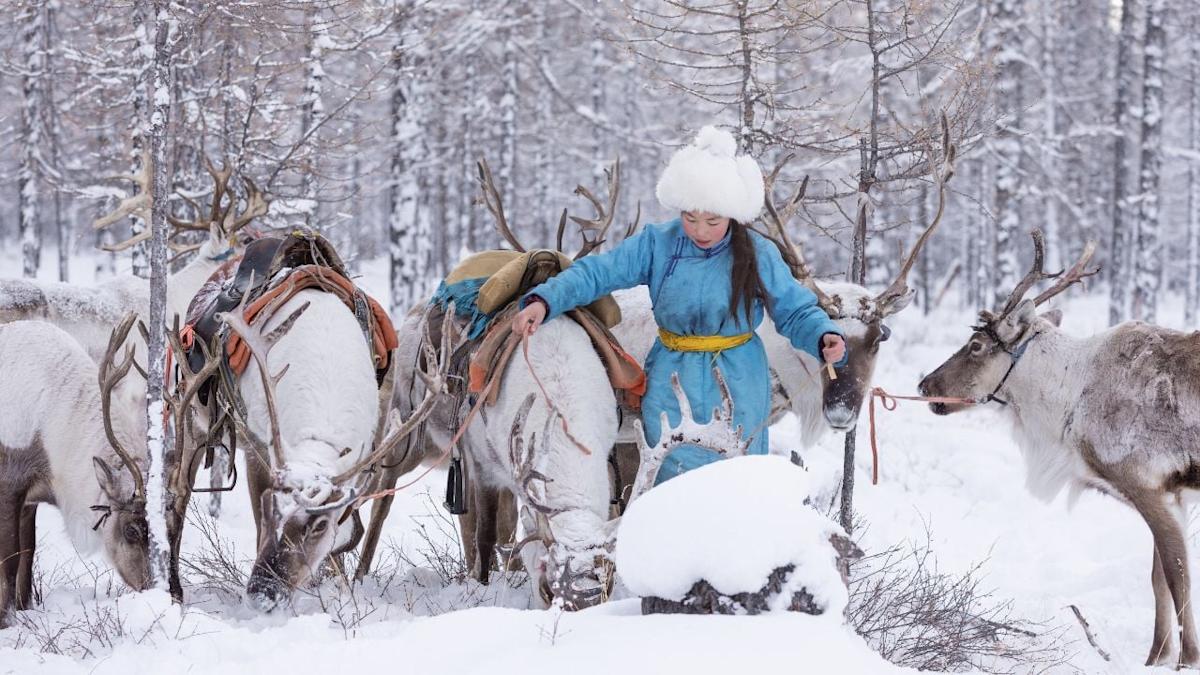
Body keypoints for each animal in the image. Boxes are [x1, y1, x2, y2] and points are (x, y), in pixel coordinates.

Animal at [0, 314, 150, 626]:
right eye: (130, 530)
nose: (151, 586)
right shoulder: (9, 486)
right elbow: (10, 560)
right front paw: (5, 622)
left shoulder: (29, 500)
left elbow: (27, 556)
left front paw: (24, 609)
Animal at [916, 230, 1200, 669]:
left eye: (976, 345)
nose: (925, 384)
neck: (1068, 401)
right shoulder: (1174, 491)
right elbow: (1158, 580)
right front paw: (1155, 658)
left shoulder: (1146, 485)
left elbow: (1177, 573)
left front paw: (1187, 660)